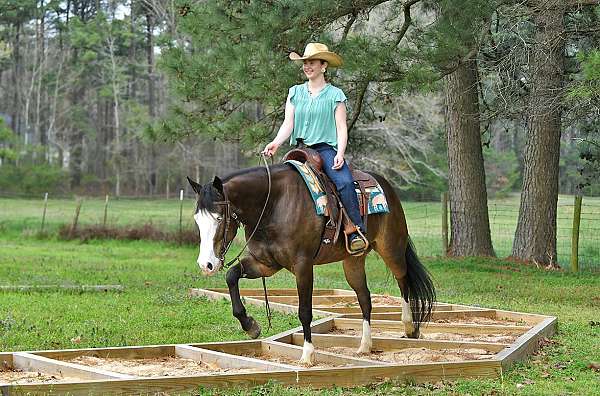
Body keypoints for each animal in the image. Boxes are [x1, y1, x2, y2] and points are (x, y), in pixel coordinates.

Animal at [185, 162, 434, 366]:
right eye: (197, 219)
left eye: (219, 218)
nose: (206, 264)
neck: (273, 205)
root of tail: (385, 185)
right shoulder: (265, 264)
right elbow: (232, 276)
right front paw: (250, 326)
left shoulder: (303, 266)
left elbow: (305, 311)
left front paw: (307, 355)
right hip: (353, 261)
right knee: (365, 298)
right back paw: (365, 346)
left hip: (391, 248)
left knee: (403, 280)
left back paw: (409, 327)